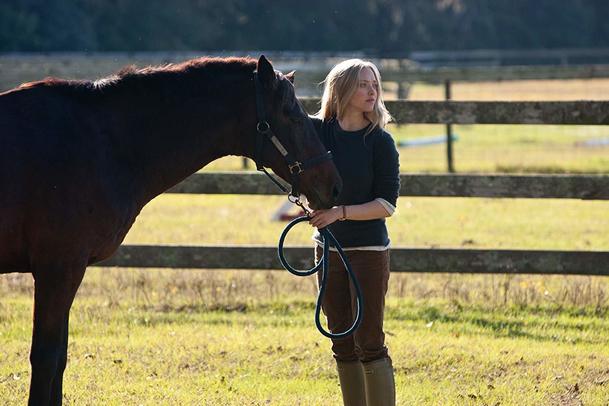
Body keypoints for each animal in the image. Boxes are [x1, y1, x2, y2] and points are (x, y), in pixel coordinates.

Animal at [0, 54, 342, 406]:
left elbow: (60, 359)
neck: (101, 145)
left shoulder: (67, 272)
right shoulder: (58, 269)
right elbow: (46, 358)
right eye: (293, 116)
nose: (334, 186)